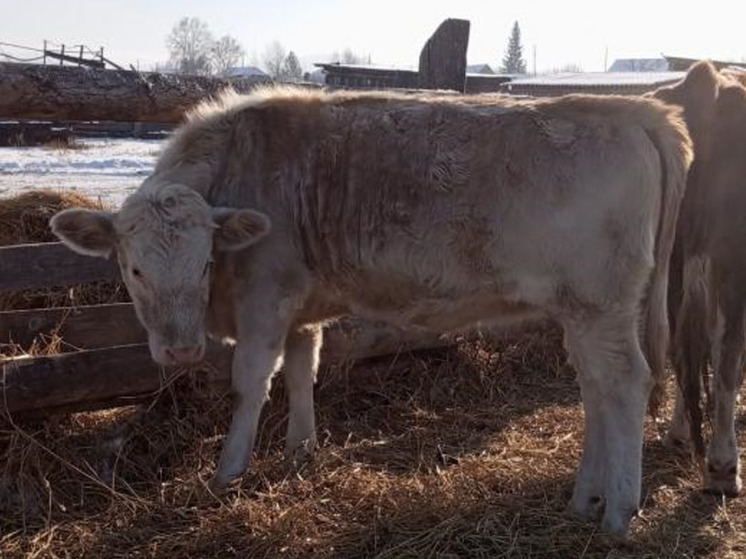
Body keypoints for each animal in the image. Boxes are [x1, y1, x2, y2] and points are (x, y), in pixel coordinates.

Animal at [49, 86, 688, 532]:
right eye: (133, 269)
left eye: (206, 263)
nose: (180, 350)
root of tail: (634, 109)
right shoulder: (301, 308)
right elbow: (302, 372)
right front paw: (300, 453)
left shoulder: (266, 299)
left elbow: (251, 383)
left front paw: (227, 472)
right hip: (587, 312)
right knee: (596, 390)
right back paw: (585, 498)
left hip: (599, 304)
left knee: (625, 384)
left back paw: (619, 511)